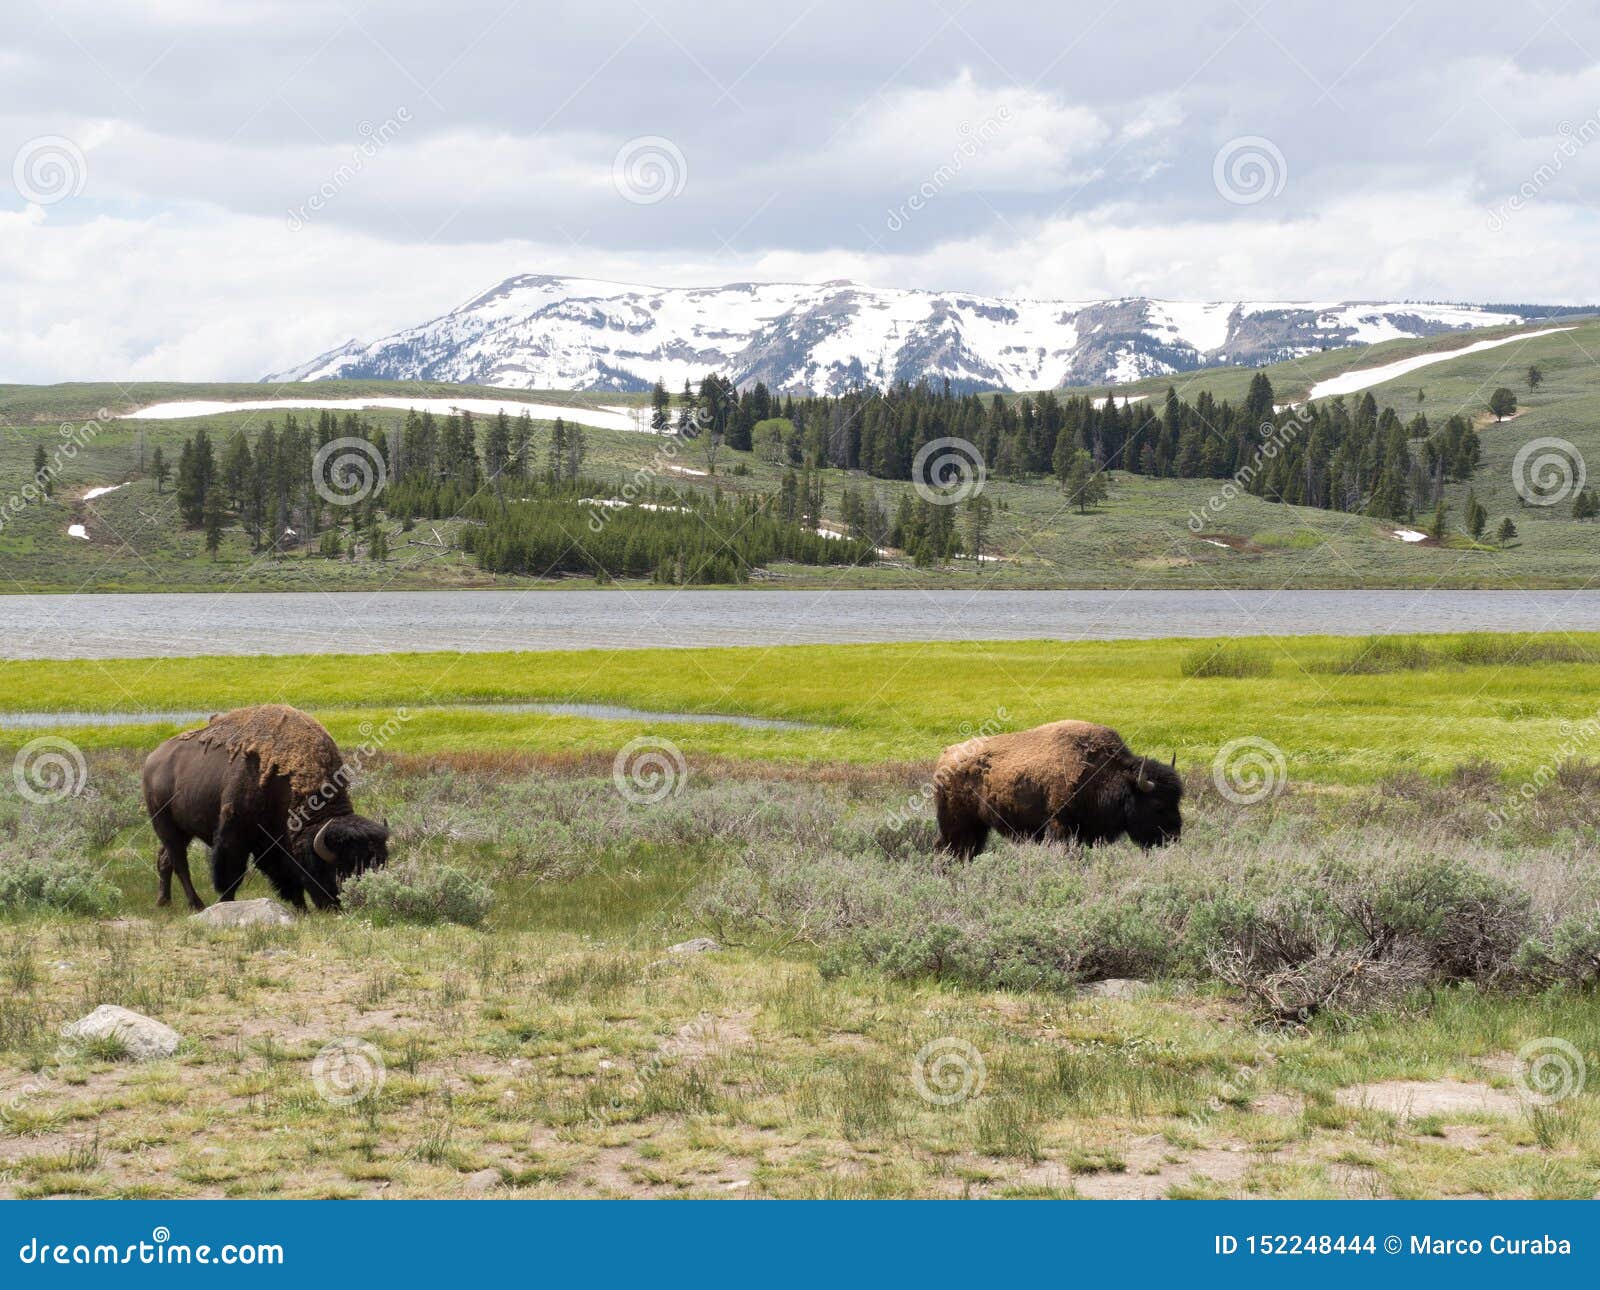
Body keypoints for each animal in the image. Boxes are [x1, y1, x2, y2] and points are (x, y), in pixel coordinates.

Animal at [141, 707, 390, 921]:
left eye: (380, 863)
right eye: (338, 870)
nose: (339, 907)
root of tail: (151, 760)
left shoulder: (275, 843)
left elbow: (288, 879)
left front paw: (302, 909)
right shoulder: (235, 835)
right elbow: (231, 875)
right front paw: (225, 904)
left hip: (183, 831)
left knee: (165, 858)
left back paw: (163, 901)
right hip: (165, 825)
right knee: (179, 862)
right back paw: (196, 904)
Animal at [934, 723, 1184, 864]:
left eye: (1178, 801)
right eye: (1158, 805)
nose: (1174, 837)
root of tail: (945, 758)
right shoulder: (1060, 825)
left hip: (977, 827)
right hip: (956, 825)